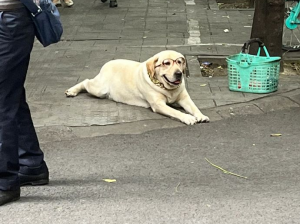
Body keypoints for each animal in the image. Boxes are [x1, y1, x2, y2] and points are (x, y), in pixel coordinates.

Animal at [65, 50, 211, 125]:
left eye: (179, 62)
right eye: (167, 63)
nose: (179, 73)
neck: (167, 88)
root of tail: (107, 63)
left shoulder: (184, 98)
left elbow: (194, 107)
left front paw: (201, 115)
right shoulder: (158, 104)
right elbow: (176, 112)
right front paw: (188, 117)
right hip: (98, 89)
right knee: (86, 81)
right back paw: (72, 90)